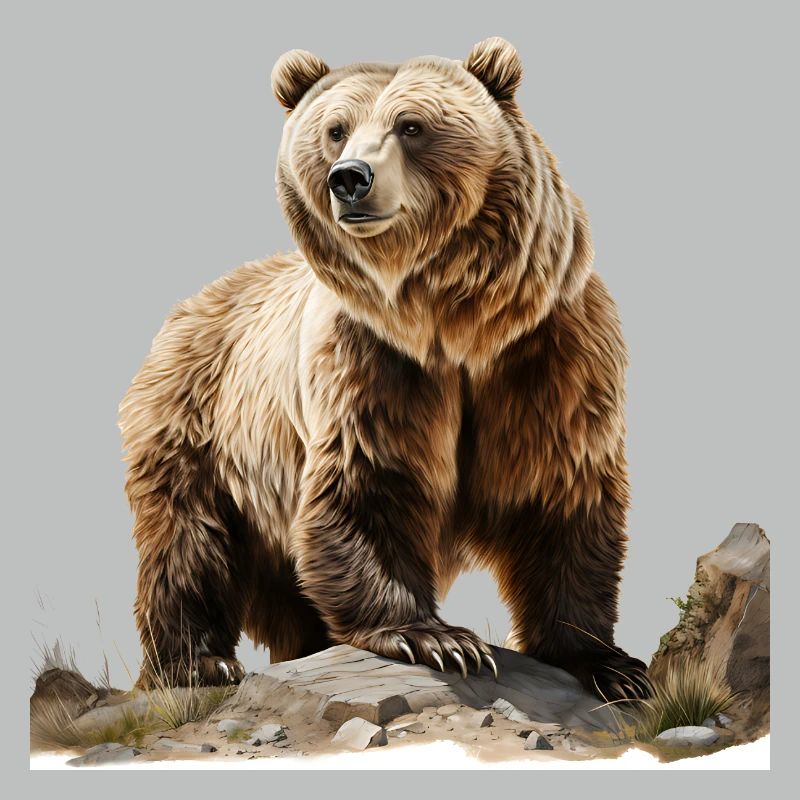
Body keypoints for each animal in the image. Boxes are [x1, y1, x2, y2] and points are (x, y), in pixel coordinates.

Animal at [119, 37, 648, 701]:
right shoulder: (370, 361)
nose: (350, 178)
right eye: (335, 129)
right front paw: (436, 639)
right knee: (188, 542)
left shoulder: (549, 352)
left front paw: (609, 663)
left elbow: (562, 492)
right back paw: (197, 663)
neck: (452, 324)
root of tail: (187, 310)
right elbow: (369, 481)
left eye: (412, 125)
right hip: (201, 427)